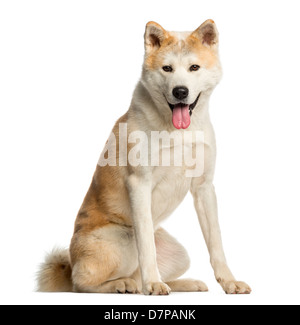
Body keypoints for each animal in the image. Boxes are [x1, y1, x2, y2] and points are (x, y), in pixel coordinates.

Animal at [37, 19, 251, 294]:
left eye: (194, 67)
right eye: (167, 68)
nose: (180, 91)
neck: (179, 131)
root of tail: (71, 261)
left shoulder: (204, 188)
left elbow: (216, 243)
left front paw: (229, 281)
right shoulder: (140, 184)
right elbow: (146, 246)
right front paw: (154, 284)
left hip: (180, 254)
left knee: (139, 275)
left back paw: (182, 283)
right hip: (120, 241)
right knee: (82, 283)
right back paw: (123, 284)